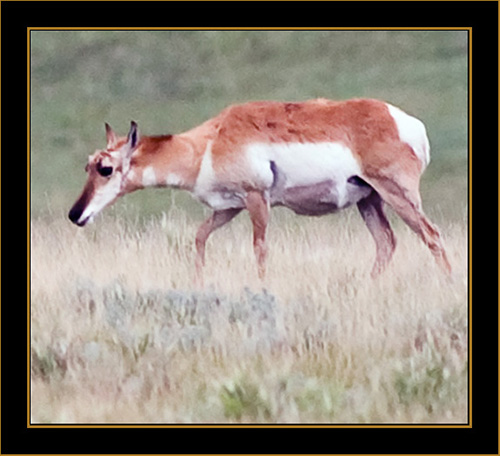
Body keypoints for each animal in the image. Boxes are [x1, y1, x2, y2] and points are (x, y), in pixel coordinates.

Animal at [67, 97, 454, 278]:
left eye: (105, 168)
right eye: (87, 165)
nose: (75, 214)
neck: (208, 143)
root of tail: (403, 121)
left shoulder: (256, 200)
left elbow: (260, 249)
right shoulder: (228, 208)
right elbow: (199, 237)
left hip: (396, 194)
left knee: (432, 236)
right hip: (369, 200)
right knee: (386, 243)